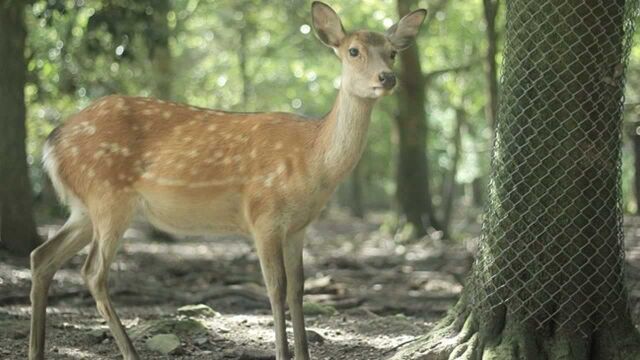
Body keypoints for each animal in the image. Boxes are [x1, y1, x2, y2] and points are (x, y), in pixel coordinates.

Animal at [31, 1, 430, 358]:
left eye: (393, 53)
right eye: (353, 51)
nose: (387, 77)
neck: (313, 162)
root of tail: (51, 142)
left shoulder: (298, 226)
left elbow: (299, 288)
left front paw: (302, 352)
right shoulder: (263, 215)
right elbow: (275, 288)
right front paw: (282, 353)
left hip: (85, 207)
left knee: (42, 256)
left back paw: (37, 349)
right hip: (108, 196)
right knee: (92, 272)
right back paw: (130, 352)